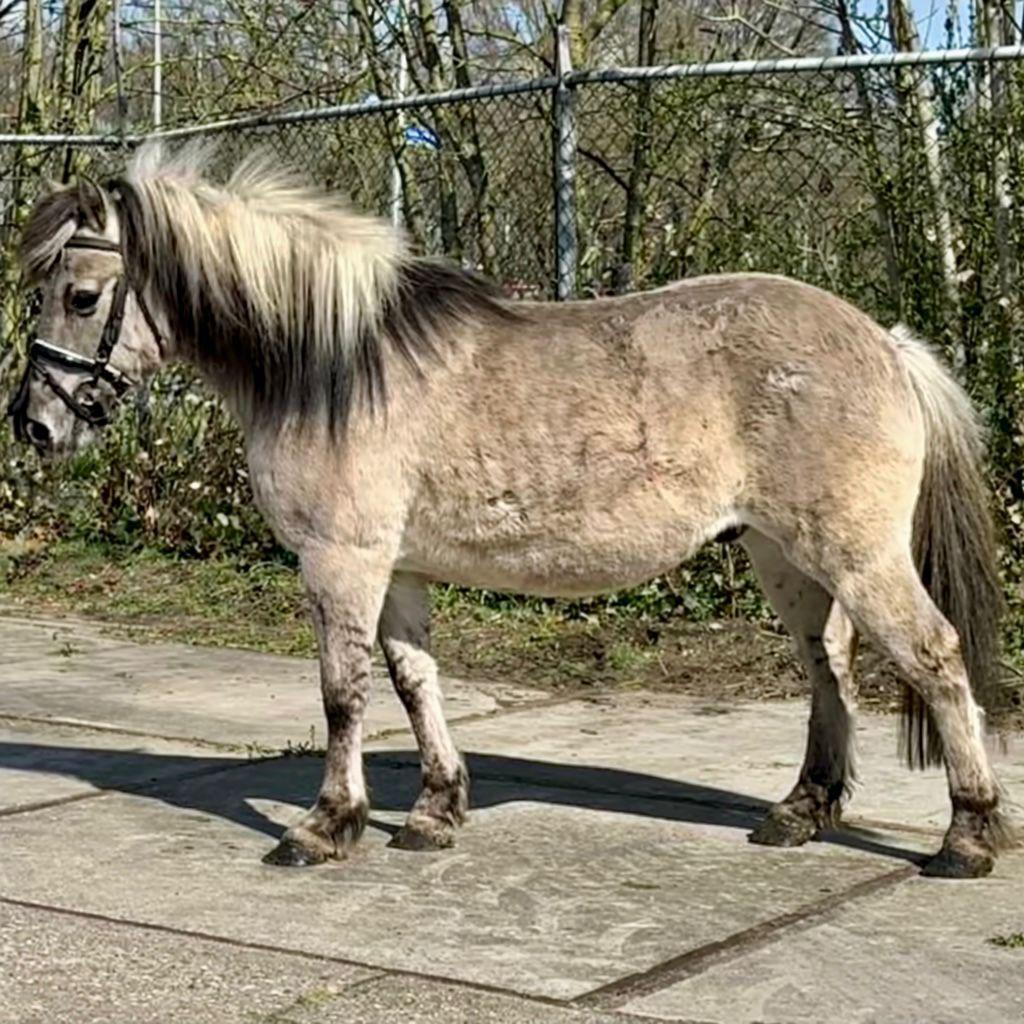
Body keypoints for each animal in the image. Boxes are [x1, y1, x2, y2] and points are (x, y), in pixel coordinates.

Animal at [8, 145, 1012, 878]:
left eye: (82, 295)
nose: (35, 424)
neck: (336, 366)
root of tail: (884, 342)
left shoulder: (342, 559)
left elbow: (342, 693)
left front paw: (326, 825)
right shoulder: (398, 566)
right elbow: (414, 682)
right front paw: (433, 810)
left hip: (856, 552)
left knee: (932, 655)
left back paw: (967, 835)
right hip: (783, 553)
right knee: (828, 667)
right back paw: (800, 812)